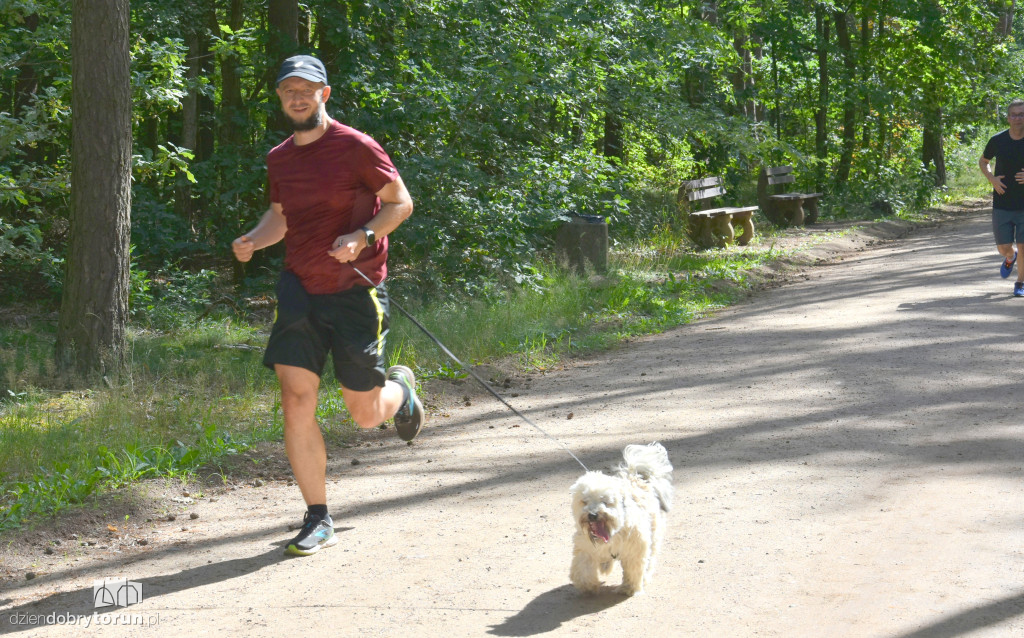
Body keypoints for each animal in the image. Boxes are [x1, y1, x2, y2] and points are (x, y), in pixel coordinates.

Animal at [569, 442, 671, 598]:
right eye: (584, 501)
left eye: (605, 501)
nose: (592, 514)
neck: (611, 533)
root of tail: (637, 478)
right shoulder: (585, 550)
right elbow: (583, 569)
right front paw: (588, 586)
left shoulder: (635, 549)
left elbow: (633, 569)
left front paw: (629, 588)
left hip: (653, 535)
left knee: (650, 559)